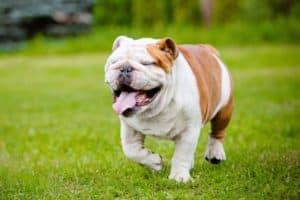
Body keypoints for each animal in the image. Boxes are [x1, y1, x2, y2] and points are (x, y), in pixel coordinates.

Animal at [104, 36, 233, 183]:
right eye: (114, 62)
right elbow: (131, 150)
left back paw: (215, 153)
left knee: (217, 133)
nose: (125, 68)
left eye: (147, 63)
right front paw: (154, 162)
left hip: (224, 110)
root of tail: (207, 48)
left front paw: (179, 177)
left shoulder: (189, 130)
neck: (159, 105)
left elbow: (182, 154)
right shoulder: (129, 128)